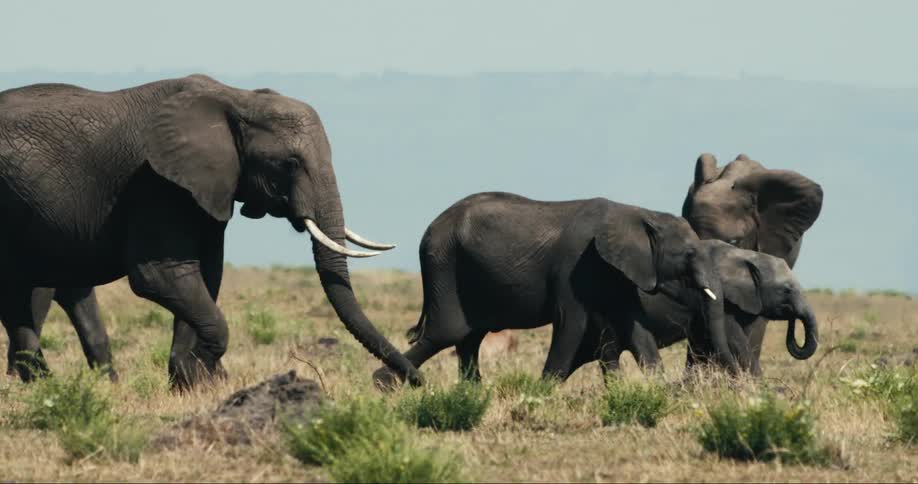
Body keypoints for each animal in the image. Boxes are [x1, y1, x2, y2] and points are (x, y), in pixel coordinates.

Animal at [0, 75, 422, 388]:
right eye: (289, 163)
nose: (416, 382)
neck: (236, 100)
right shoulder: (155, 183)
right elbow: (160, 276)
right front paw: (205, 374)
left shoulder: (205, 188)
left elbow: (205, 274)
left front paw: (193, 382)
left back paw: (44, 384)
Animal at [373, 191, 735, 386]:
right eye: (689, 254)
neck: (636, 213)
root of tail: (430, 228)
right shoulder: (574, 266)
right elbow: (571, 323)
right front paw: (543, 389)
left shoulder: (618, 270)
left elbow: (636, 328)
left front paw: (657, 386)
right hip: (443, 264)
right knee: (448, 331)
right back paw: (385, 384)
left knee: (469, 337)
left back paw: (472, 391)